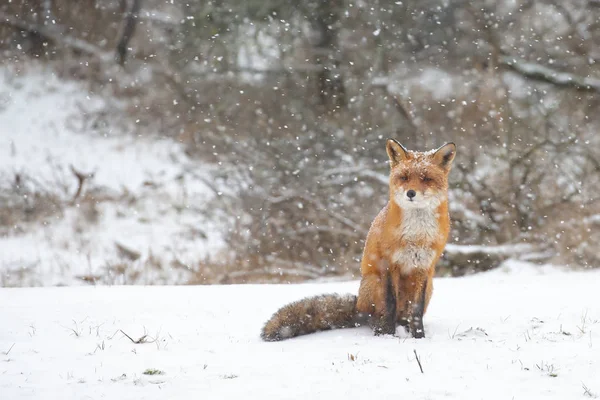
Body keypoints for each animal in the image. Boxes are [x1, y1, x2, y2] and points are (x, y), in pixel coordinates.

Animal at [260, 141, 458, 340]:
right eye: (404, 177)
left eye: (426, 178)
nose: (410, 193)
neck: (416, 236)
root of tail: (359, 307)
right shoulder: (387, 264)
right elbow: (390, 304)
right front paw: (387, 336)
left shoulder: (424, 268)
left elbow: (416, 311)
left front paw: (419, 337)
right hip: (374, 280)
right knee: (377, 315)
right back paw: (379, 328)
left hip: (429, 285)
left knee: (404, 315)